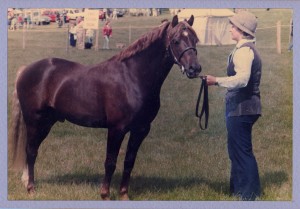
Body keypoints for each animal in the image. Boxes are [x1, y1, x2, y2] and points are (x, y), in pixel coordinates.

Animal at [9, 15, 202, 201]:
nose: (195, 69)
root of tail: (26, 69)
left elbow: (129, 161)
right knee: (31, 151)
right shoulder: (117, 129)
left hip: (47, 123)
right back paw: (31, 188)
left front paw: (124, 195)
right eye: (176, 40)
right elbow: (110, 162)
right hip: (34, 121)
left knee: (32, 149)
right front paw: (105, 194)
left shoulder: (141, 130)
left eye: (195, 39)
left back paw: (27, 181)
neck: (132, 77)